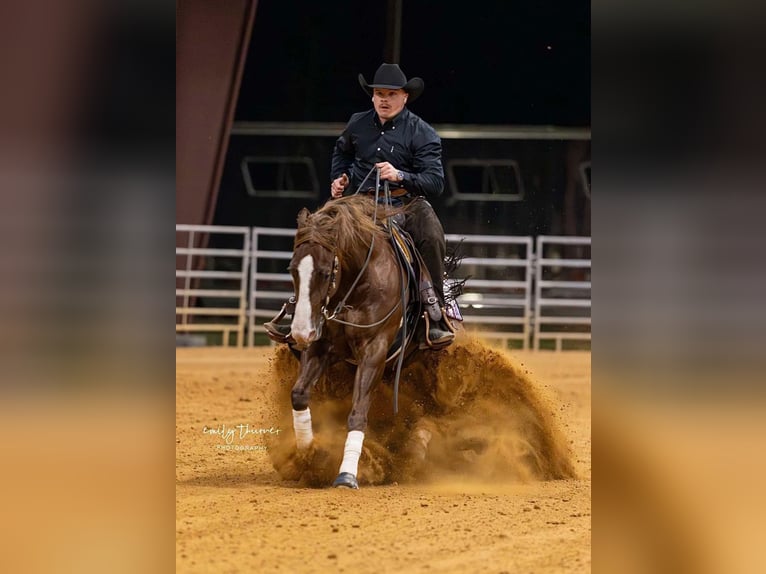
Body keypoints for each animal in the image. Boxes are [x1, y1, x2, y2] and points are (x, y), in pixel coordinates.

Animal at [288, 197, 420, 490]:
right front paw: (309, 457)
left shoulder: (375, 350)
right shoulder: (320, 345)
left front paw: (347, 474)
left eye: (325, 273)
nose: (301, 332)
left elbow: (358, 413)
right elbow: (299, 395)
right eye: (292, 270)